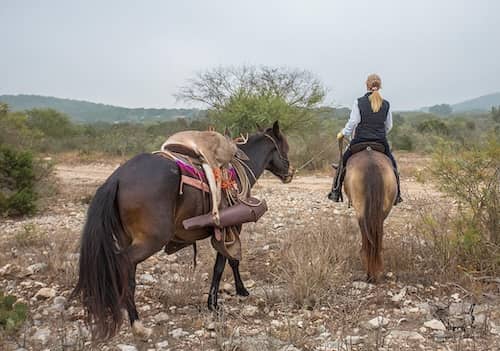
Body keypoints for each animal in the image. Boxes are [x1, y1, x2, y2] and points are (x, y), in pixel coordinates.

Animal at [68, 121, 292, 340]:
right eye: (285, 147)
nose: (290, 174)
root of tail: (118, 178)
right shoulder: (231, 227)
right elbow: (226, 263)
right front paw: (220, 301)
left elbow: (229, 261)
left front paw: (234, 293)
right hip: (151, 240)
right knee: (125, 264)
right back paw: (138, 325)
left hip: (126, 238)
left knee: (126, 271)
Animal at [342, 143, 396, 284]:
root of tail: (372, 165)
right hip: (382, 211)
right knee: (377, 236)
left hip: (361, 211)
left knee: (366, 239)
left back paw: (369, 274)